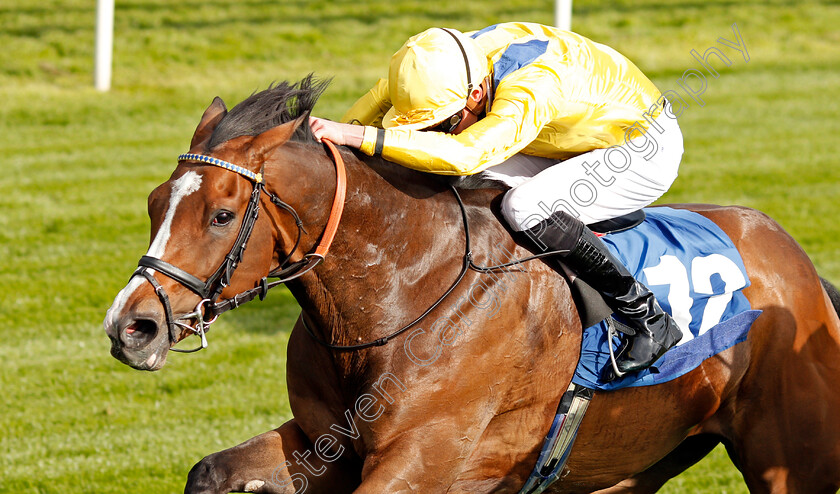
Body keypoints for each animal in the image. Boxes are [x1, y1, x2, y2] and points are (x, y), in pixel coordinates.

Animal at [103, 79, 840, 492]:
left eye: (222, 215)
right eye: (154, 201)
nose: (131, 326)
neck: (399, 293)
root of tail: (798, 264)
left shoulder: (425, 461)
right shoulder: (326, 444)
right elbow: (210, 472)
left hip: (790, 460)